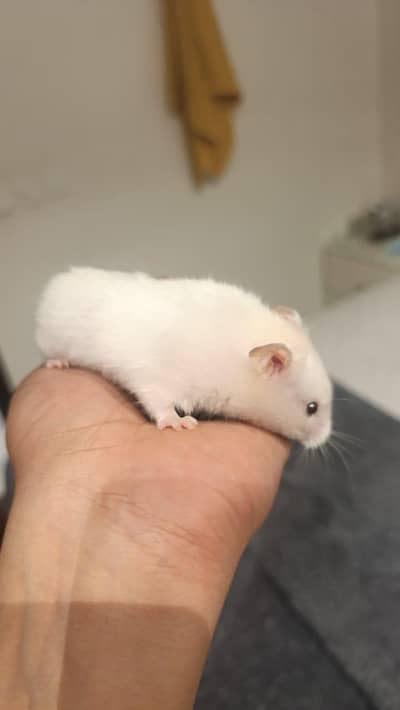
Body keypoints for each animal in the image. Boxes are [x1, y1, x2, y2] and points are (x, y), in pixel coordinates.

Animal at [35, 268, 332, 448]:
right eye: (312, 408)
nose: (325, 440)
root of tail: (52, 286)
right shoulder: (156, 378)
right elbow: (161, 404)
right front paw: (180, 424)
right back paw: (59, 363)